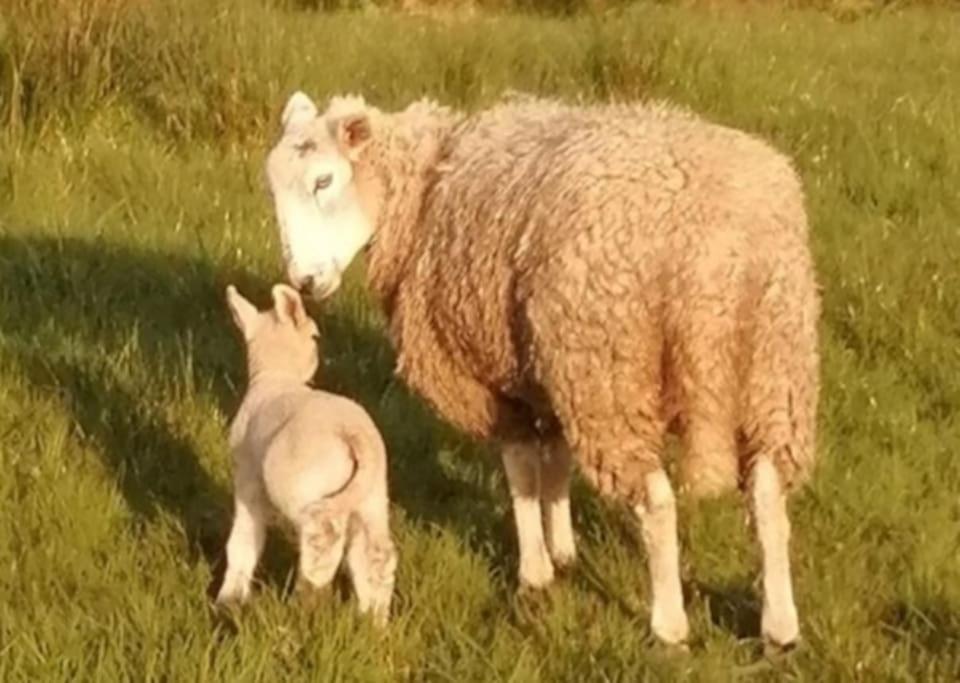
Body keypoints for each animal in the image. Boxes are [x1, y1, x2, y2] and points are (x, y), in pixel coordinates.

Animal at [216, 282, 396, 624]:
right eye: (314, 337)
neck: (275, 376)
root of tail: (352, 433)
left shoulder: (247, 475)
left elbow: (244, 535)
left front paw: (229, 598)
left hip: (307, 490)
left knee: (323, 538)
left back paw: (307, 599)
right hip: (371, 495)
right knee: (376, 553)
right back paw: (374, 621)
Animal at [260, 88, 816, 648]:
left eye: (324, 181)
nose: (305, 282)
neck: (423, 190)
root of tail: (715, 257)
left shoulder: (491, 378)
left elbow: (522, 469)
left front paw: (535, 571)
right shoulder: (542, 368)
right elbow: (558, 460)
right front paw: (564, 549)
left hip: (607, 367)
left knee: (657, 501)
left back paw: (669, 626)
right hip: (774, 365)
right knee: (768, 491)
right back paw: (780, 626)